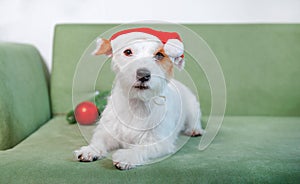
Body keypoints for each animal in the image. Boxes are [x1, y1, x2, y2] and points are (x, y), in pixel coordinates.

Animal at [74, 27, 204, 170]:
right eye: (128, 52)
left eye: (159, 55)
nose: (143, 75)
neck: (137, 104)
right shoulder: (108, 132)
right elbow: (99, 140)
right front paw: (90, 150)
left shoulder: (158, 141)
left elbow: (141, 148)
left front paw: (127, 156)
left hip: (192, 108)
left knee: (194, 120)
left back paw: (195, 130)